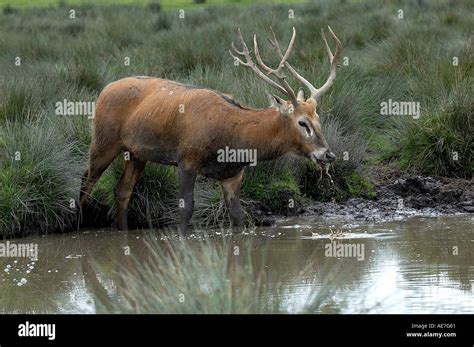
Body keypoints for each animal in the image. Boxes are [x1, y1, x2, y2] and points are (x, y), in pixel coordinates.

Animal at [79, 26, 342, 234]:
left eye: (319, 118)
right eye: (302, 122)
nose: (328, 154)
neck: (233, 140)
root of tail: (103, 90)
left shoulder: (232, 174)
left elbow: (237, 217)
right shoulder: (186, 159)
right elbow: (186, 210)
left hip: (136, 153)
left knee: (122, 191)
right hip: (103, 140)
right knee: (85, 182)